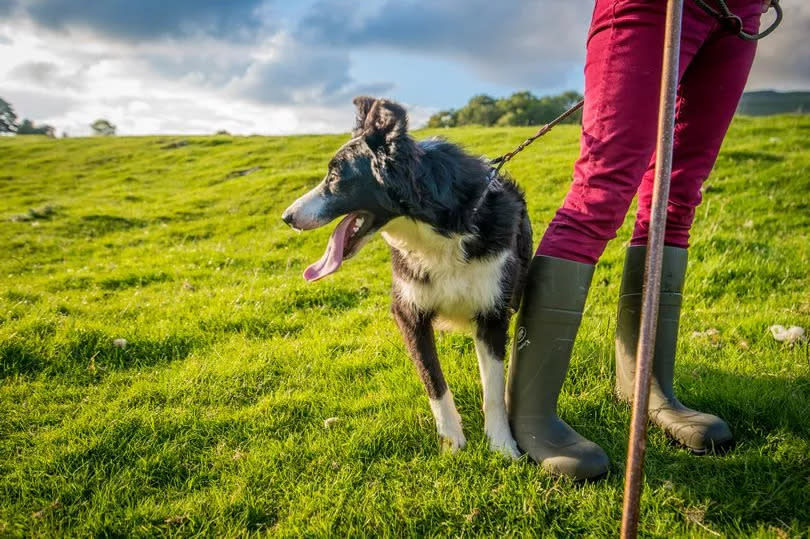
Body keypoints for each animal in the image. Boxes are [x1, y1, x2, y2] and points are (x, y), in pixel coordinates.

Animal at [282, 98, 532, 460]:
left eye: (335, 176)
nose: (286, 217)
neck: (436, 233)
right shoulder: (409, 312)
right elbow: (433, 380)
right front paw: (452, 444)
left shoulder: (493, 313)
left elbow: (495, 390)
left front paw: (502, 446)